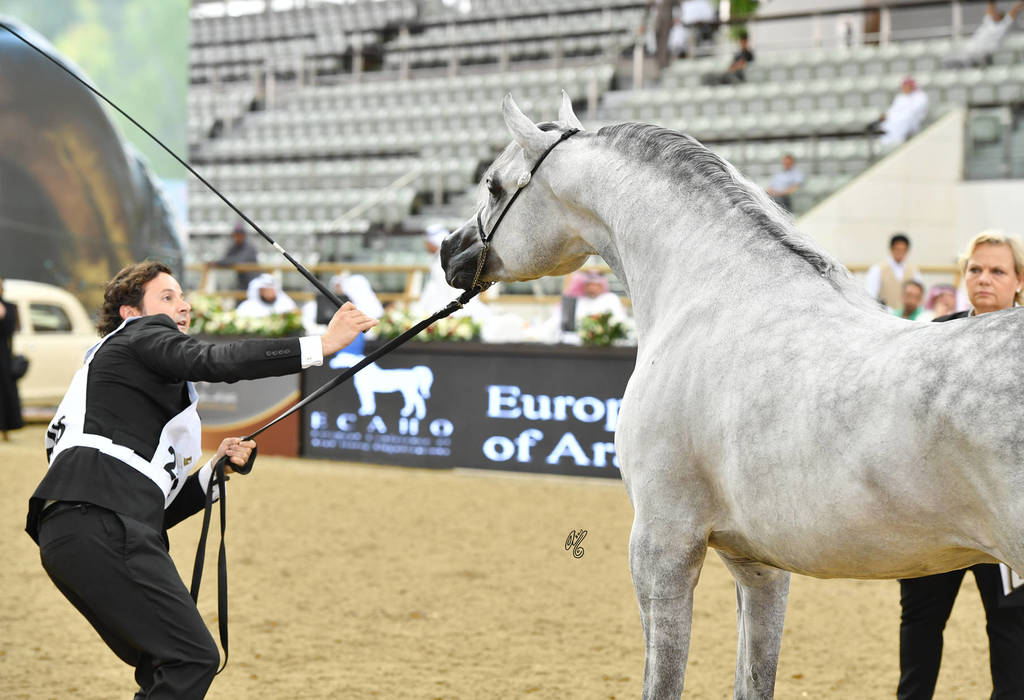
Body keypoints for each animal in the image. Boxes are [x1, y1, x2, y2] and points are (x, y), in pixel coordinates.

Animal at [440, 93, 1024, 699]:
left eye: (493, 185)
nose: (448, 251)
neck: (718, 292)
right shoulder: (758, 565)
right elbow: (754, 677)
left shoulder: (662, 544)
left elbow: (663, 679)